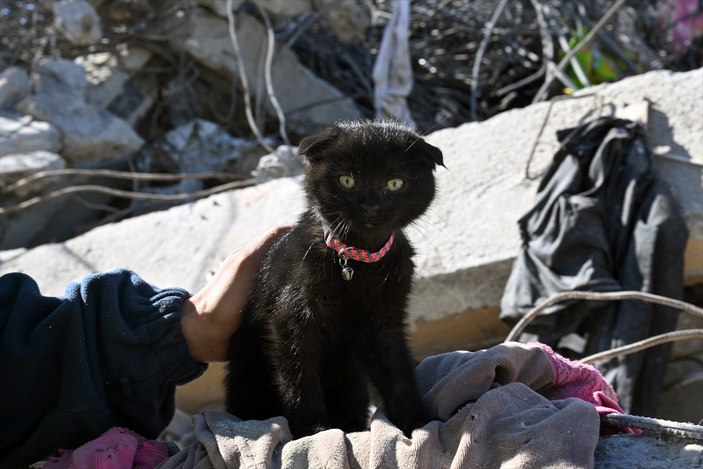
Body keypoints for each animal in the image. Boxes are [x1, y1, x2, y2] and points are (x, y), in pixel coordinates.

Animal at [227, 119, 446, 436]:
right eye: (347, 181)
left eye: (394, 183)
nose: (370, 205)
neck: (358, 263)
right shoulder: (292, 318)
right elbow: (299, 376)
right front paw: (314, 430)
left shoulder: (386, 320)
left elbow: (397, 370)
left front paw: (415, 420)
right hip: (249, 373)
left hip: (350, 380)